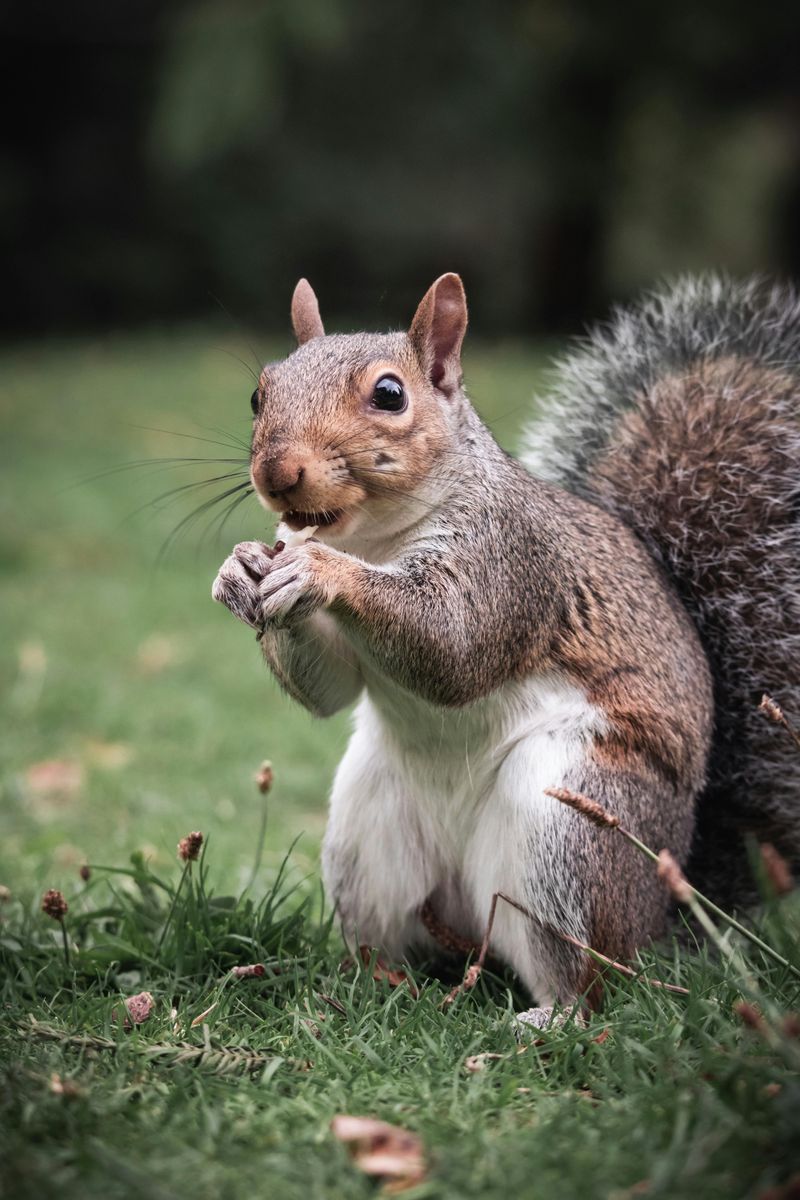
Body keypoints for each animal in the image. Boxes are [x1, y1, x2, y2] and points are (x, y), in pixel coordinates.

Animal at [212, 274, 800, 1022]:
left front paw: (322, 572)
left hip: (570, 824)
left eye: (389, 395)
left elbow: (454, 646)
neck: (374, 537)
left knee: (596, 980)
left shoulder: (510, 559)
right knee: (397, 941)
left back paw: (551, 1017)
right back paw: (366, 985)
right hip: (365, 839)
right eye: (259, 394)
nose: (276, 473)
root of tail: (667, 910)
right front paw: (239, 570)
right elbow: (331, 689)